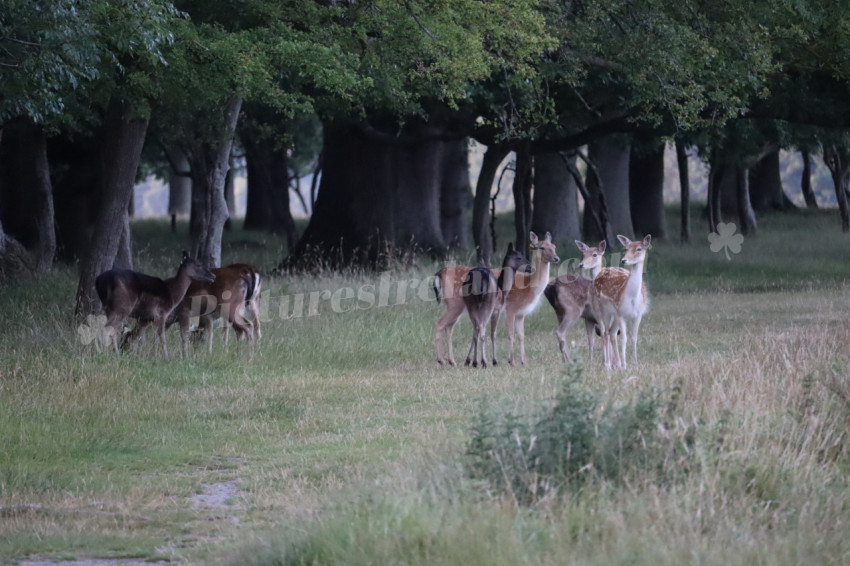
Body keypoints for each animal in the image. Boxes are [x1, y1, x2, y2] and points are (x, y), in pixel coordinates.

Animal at [501, 231, 560, 365]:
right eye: (542, 247)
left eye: (554, 246)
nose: (556, 258)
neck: (529, 288)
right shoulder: (510, 309)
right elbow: (511, 334)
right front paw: (511, 361)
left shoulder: (521, 313)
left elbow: (522, 335)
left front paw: (524, 361)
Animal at [589, 234, 651, 370]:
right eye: (626, 248)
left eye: (639, 249)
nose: (624, 260)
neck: (632, 297)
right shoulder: (621, 313)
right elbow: (624, 338)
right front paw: (624, 365)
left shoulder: (638, 314)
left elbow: (634, 338)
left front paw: (635, 362)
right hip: (600, 309)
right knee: (605, 332)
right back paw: (607, 364)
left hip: (613, 315)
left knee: (611, 332)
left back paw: (614, 364)